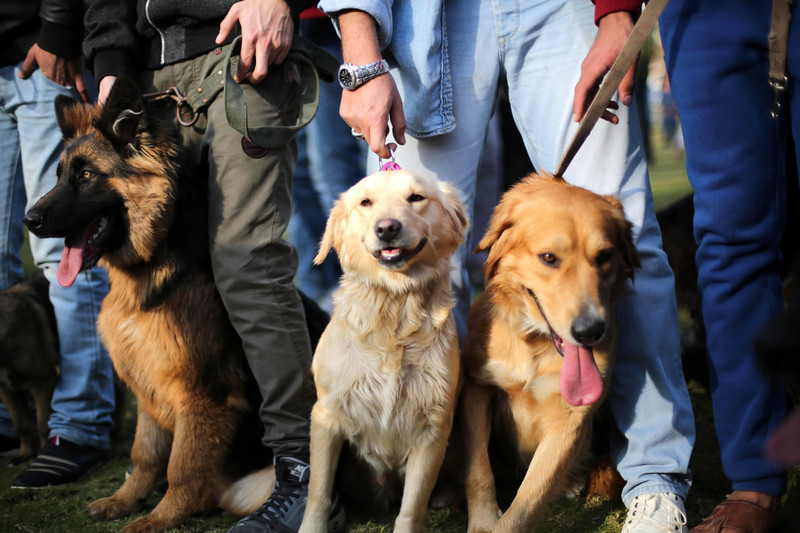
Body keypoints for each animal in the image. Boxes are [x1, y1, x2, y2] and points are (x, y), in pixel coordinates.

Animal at [0, 268, 58, 464]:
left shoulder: (43, 382)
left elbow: (42, 424)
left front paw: (42, 454)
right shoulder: (6, 389)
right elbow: (22, 423)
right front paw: (25, 454)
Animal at [23, 77, 286, 528]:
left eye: (87, 175)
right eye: (58, 176)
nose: (29, 220)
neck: (147, 274)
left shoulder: (203, 394)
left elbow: (183, 464)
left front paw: (161, 517)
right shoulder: (146, 383)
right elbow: (144, 453)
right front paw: (126, 499)